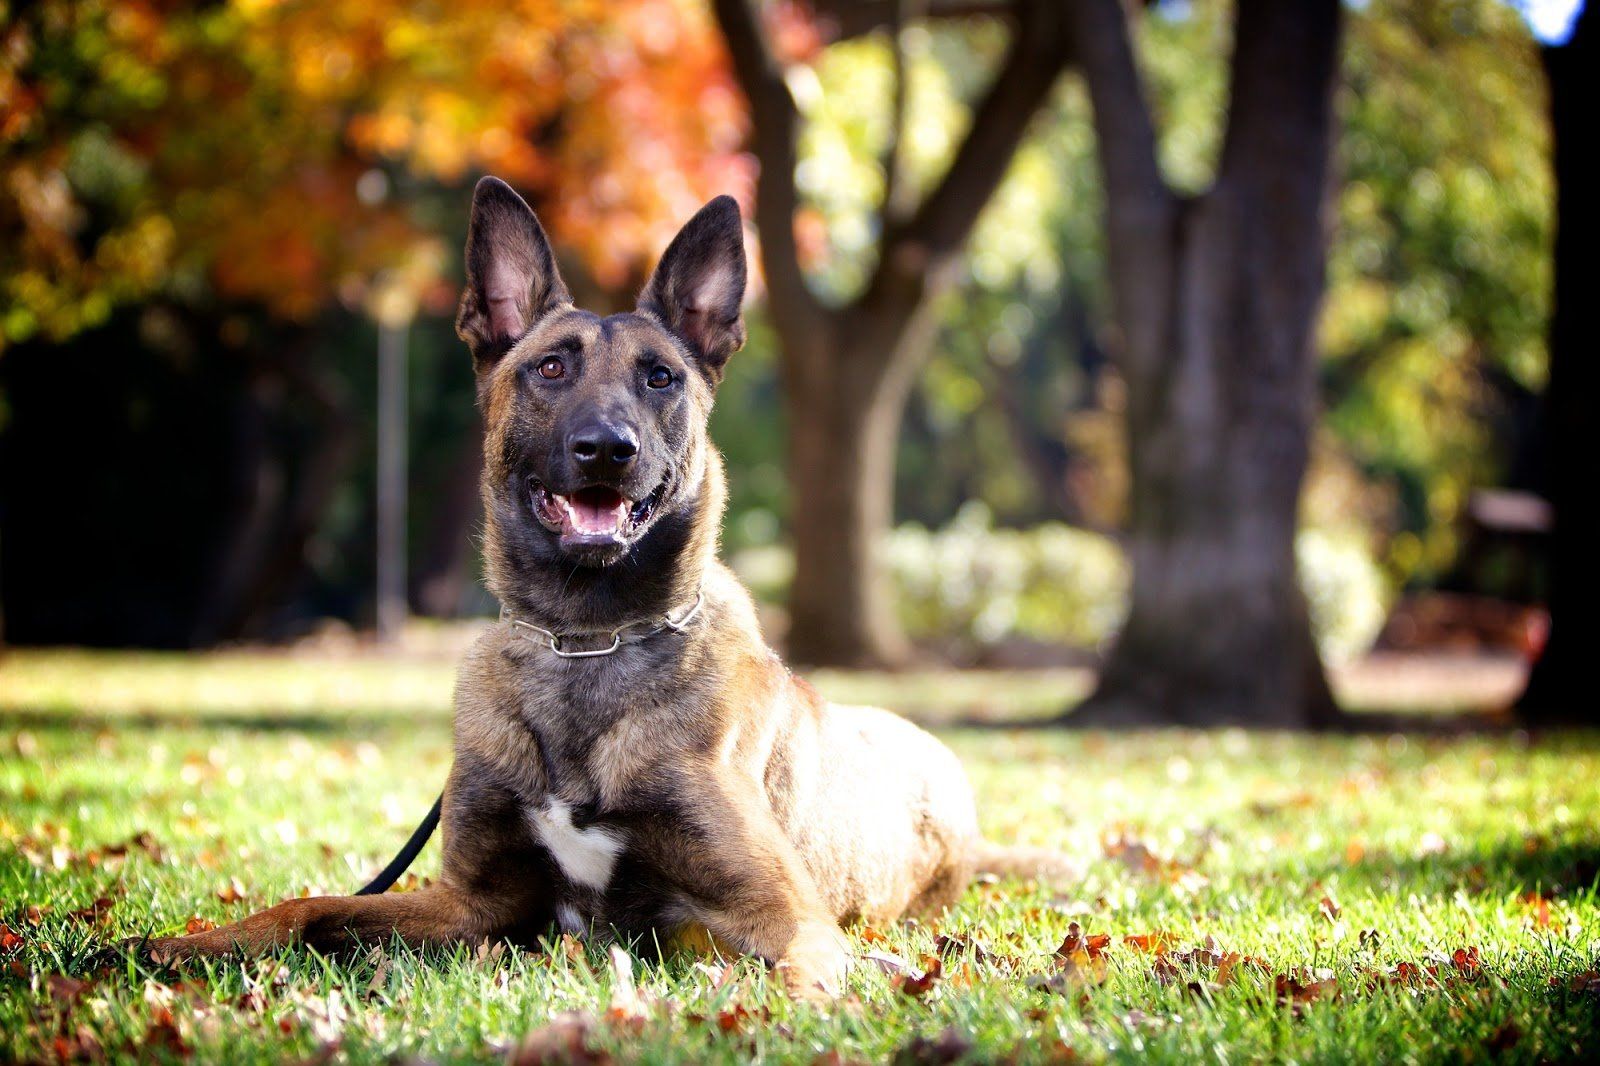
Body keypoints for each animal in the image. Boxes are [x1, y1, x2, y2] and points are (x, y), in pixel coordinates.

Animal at [137, 176, 1062, 998]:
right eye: (551, 368)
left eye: (661, 378)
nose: (607, 449)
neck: (584, 641)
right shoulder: (474, 904)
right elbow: (309, 906)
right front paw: (197, 943)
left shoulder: (783, 914)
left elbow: (801, 974)